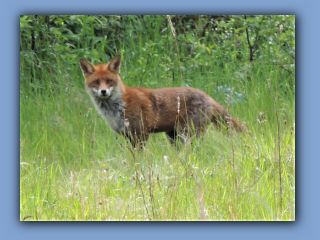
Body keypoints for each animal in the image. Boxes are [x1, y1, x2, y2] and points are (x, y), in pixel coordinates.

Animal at [80, 55, 245, 147]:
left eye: (109, 81)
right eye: (96, 82)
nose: (103, 91)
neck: (117, 108)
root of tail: (207, 95)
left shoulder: (141, 134)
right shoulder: (128, 136)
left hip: (187, 132)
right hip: (174, 136)